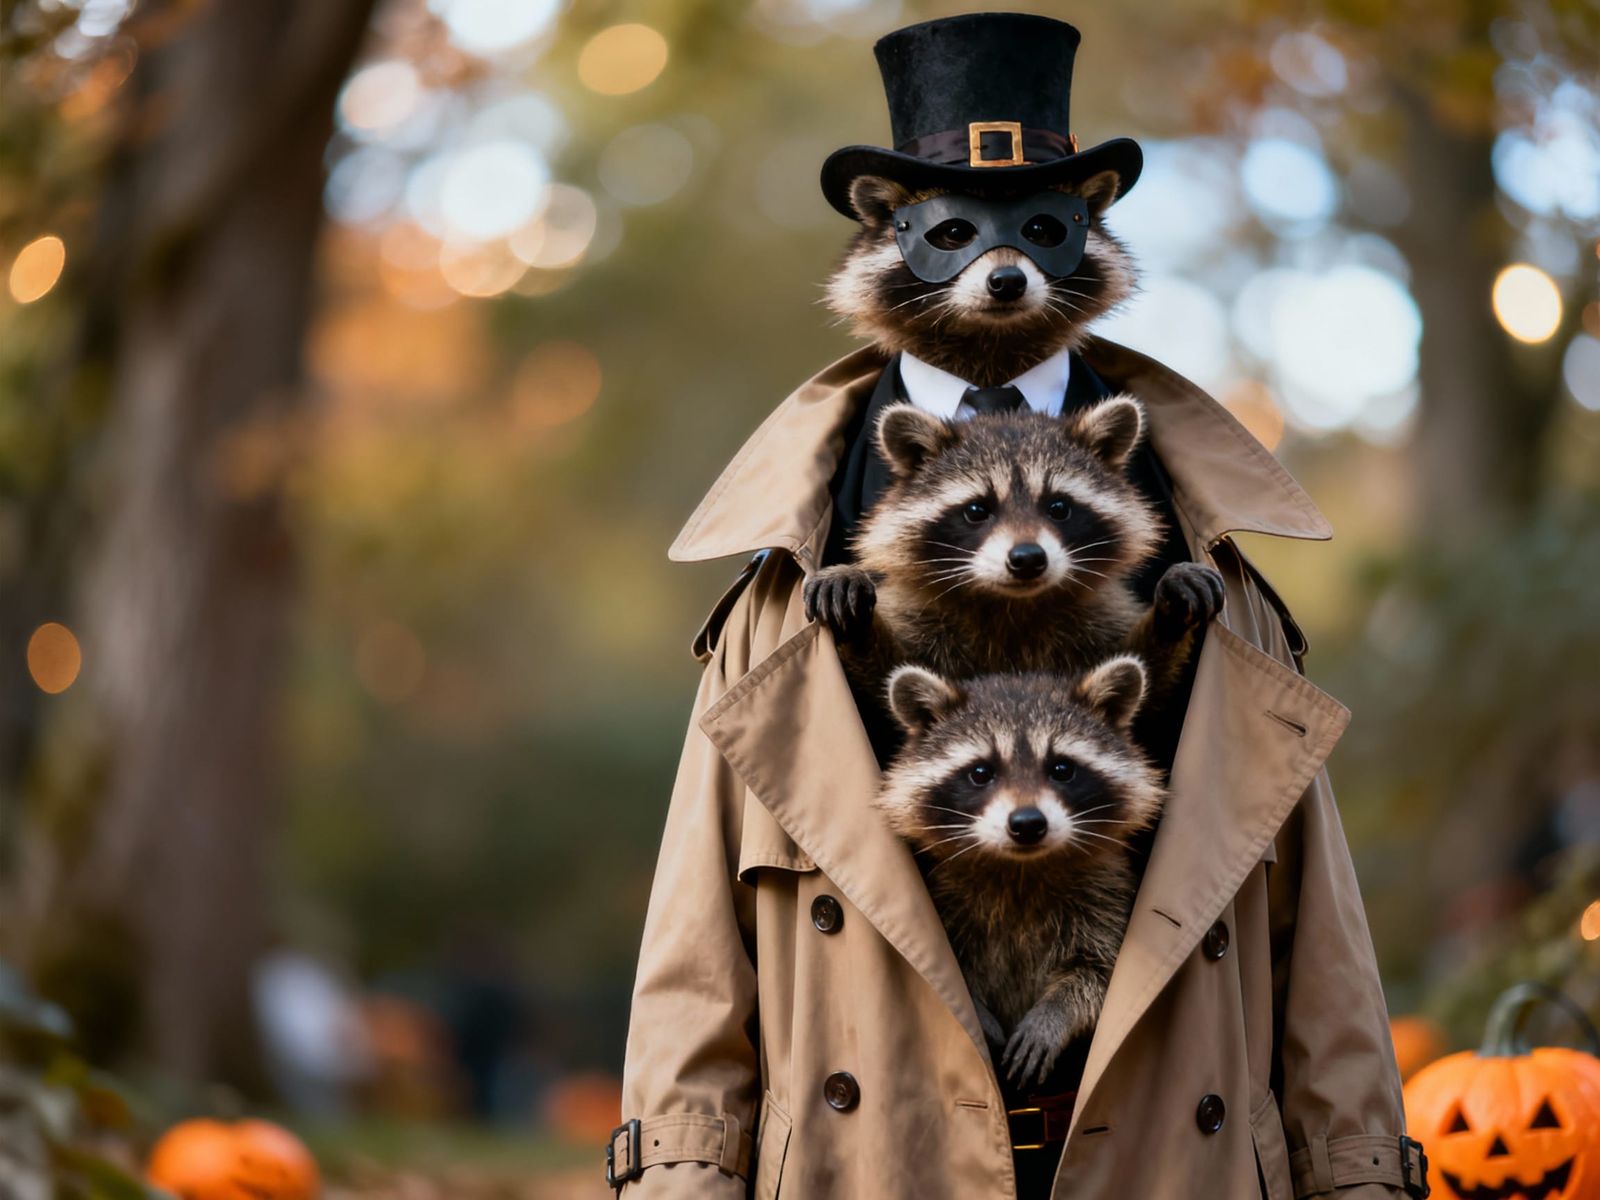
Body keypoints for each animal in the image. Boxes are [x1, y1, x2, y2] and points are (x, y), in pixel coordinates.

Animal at [803, 400, 1224, 704]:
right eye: (977, 510)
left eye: (1059, 507)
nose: (1027, 559)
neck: (1011, 605)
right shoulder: (920, 617)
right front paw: (854, 618)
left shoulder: (1098, 617)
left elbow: (1147, 691)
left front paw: (1169, 612)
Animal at [879, 658, 1164, 1085]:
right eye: (981, 772)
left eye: (1062, 768)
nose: (1028, 823)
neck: (1021, 868)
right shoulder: (946, 891)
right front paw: (974, 1010)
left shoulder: (1105, 892)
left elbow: (1100, 972)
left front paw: (1055, 1013)